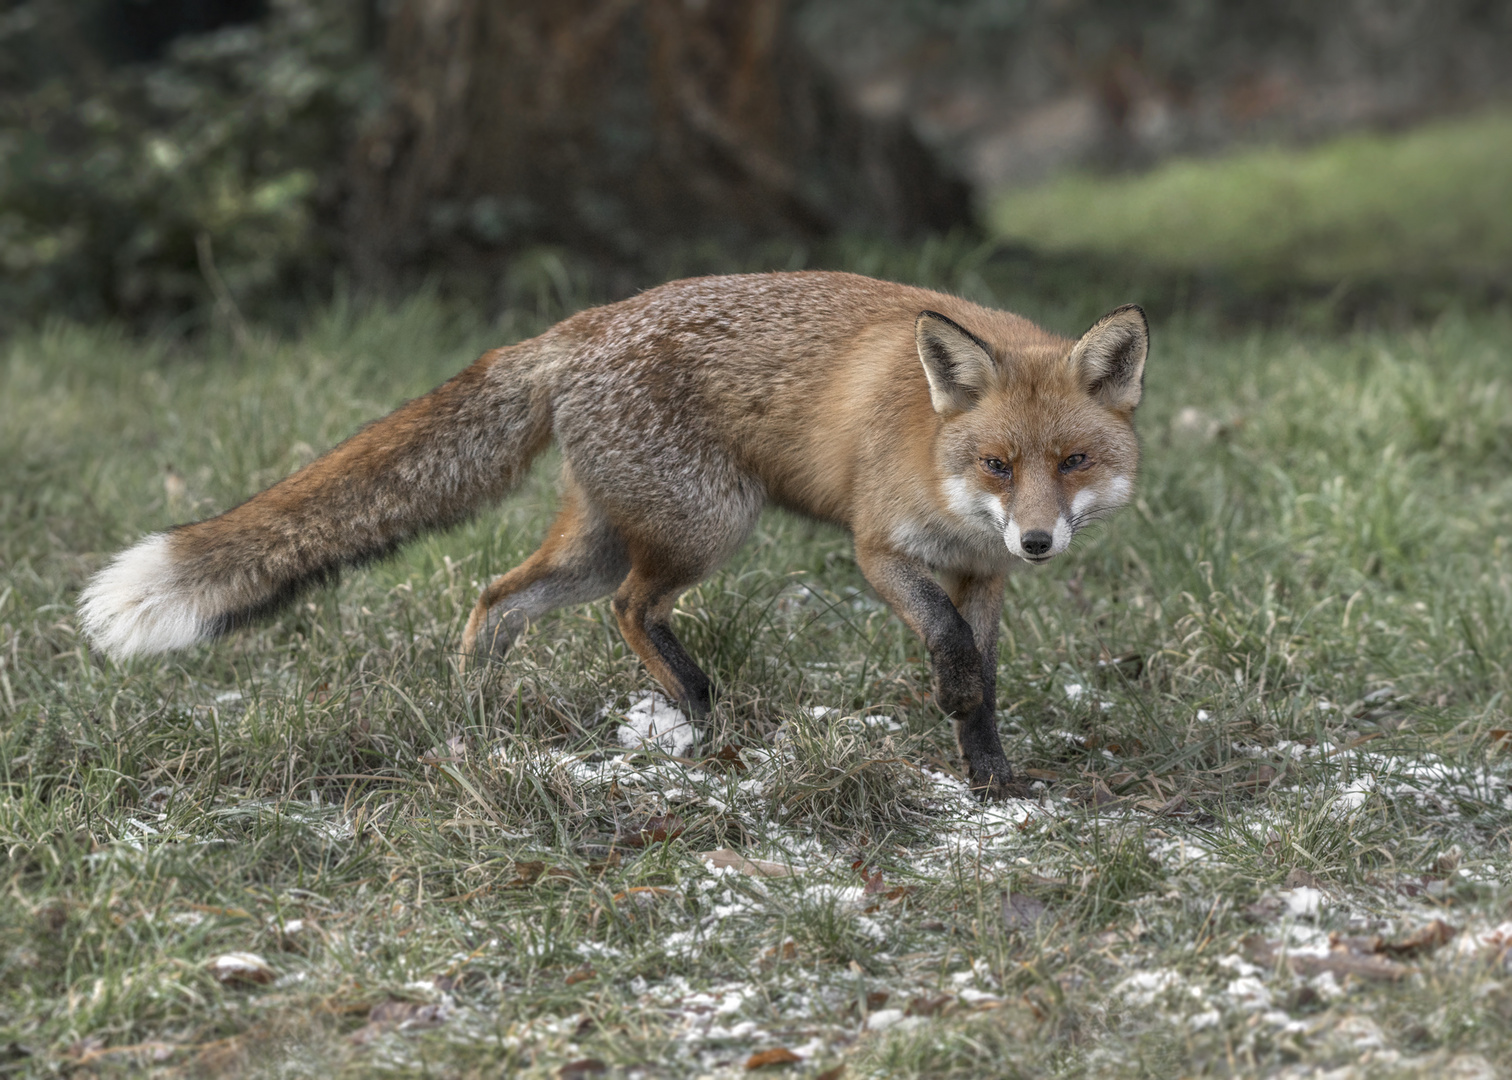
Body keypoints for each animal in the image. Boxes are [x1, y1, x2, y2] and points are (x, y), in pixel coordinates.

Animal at [79, 270, 1143, 792]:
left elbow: (982, 678)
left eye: (1073, 463)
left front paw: (993, 776)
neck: (934, 453)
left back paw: (478, 714)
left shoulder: (981, 579)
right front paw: (969, 738)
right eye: (997, 465)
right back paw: (697, 709)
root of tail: (578, 327)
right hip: (706, 527)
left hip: (600, 543)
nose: (1039, 542)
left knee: (497, 598)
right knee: (632, 609)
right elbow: (953, 655)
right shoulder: (882, 554)